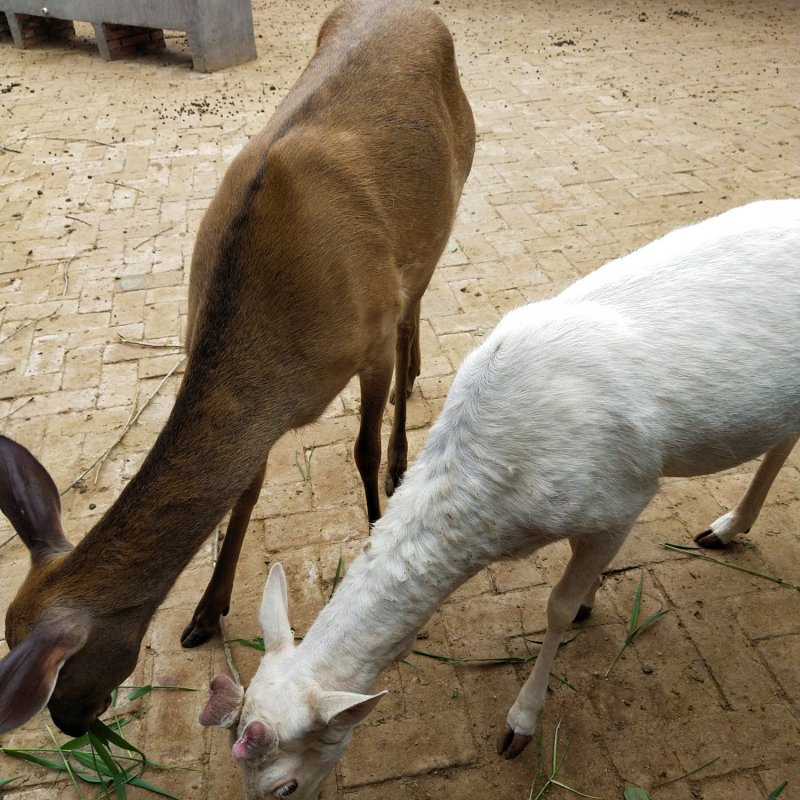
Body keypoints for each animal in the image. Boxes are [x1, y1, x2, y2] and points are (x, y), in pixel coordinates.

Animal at [0, 0, 475, 738]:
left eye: (55, 673)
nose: (74, 724)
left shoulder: (366, 340)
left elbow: (362, 448)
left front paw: (374, 532)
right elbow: (245, 491)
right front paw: (205, 609)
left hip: (452, 196)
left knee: (409, 321)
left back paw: (406, 445)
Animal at [199, 199, 800, 800]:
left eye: (284, 786)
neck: (503, 513)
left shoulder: (624, 497)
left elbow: (556, 607)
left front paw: (520, 725)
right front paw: (590, 599)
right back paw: (727, 528)